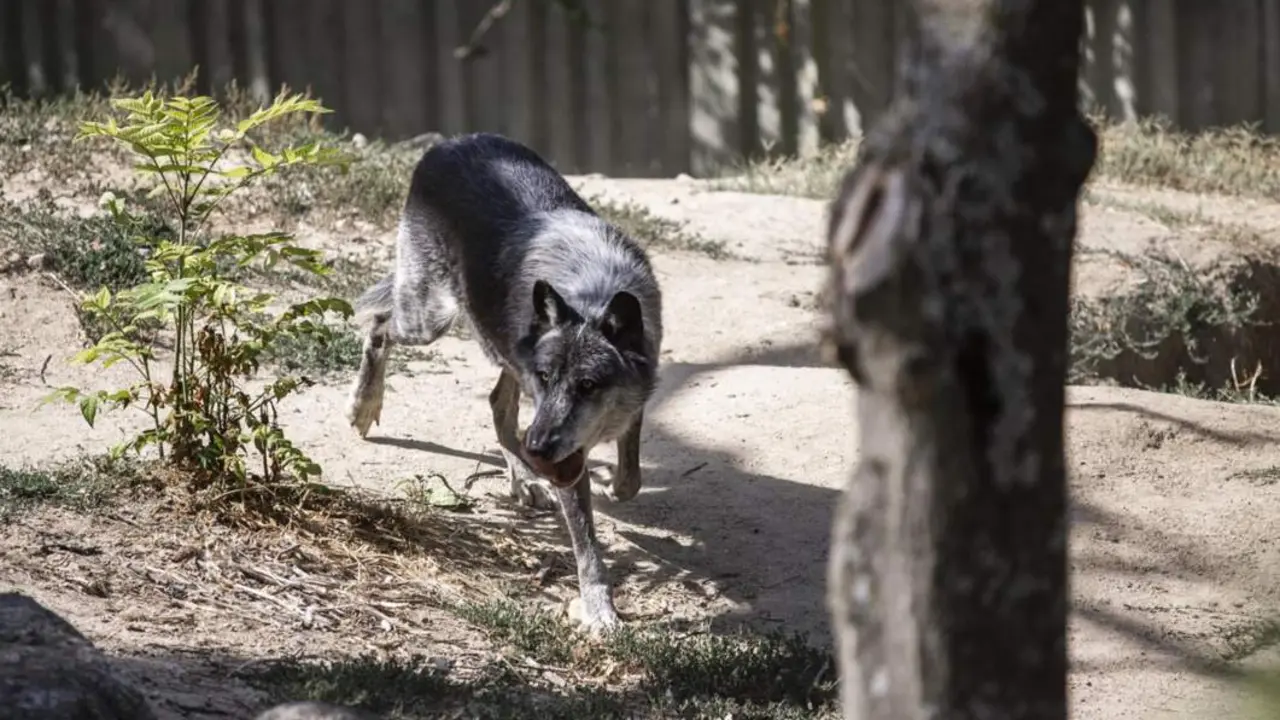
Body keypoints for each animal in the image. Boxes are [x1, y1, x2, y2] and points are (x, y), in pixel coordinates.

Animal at [343, 133, 663, 631]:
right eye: (548, 377)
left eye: (588, 385)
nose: (540, 450)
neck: (591, 292)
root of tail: (451, 141)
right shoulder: (555, 430)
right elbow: (587, 547)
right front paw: (599, 611)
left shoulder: (633, 396)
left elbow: (631, 473)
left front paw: (611, 486)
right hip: (430, 319)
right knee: (378, 325)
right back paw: (364, 405)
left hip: (496, 346)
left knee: (499, 406)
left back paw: (526, 478)